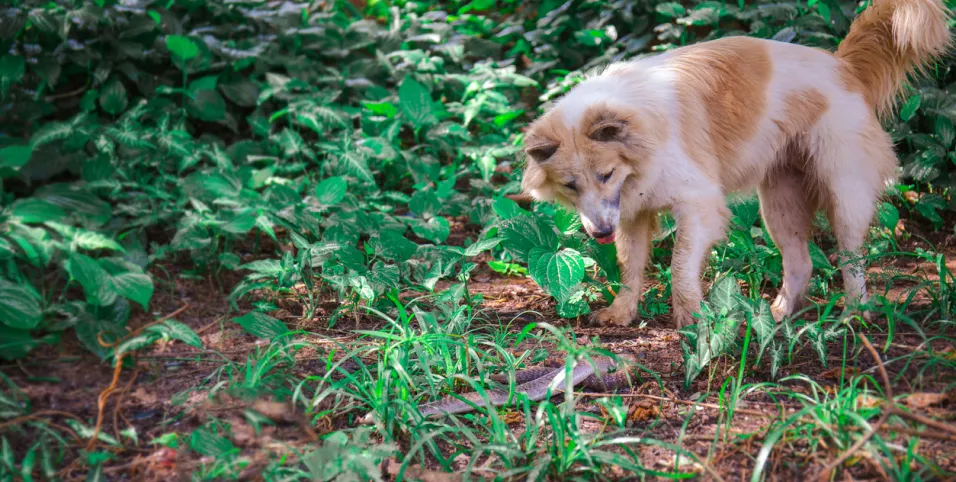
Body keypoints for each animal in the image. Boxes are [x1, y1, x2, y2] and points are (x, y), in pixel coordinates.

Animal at [520, 0, 952, 330]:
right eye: (571, 186)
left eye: (606, 175)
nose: (600, 234)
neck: (641, 132)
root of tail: (842, 65)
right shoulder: (631, 215)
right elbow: (631, 268)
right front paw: (621, 313)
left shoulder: (700, 205)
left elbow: (679, 264)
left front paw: (692, 319)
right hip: (779, 205)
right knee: (801, 263)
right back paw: (778, 315)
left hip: (844, 195)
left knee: (851, 259)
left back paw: (854, 315)